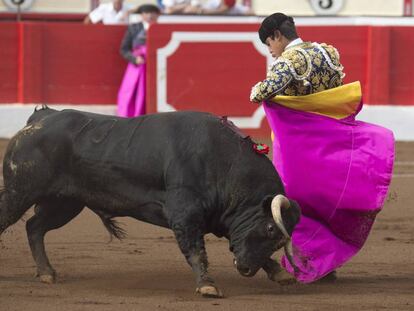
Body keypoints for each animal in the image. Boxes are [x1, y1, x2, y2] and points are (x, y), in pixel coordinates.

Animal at [0, 108, 298, 298]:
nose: (245, 269)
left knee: (34, 227)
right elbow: (196, 251)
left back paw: (46, 273)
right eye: (270, 228)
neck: (224, 163)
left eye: (279, 240)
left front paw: (281, 274)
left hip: (64, 204)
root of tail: (41, 117)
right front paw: (207, 286)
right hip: (20, 193)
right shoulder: (185, 214)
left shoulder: (223, 218)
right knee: (16, 221)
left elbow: (240, 245)